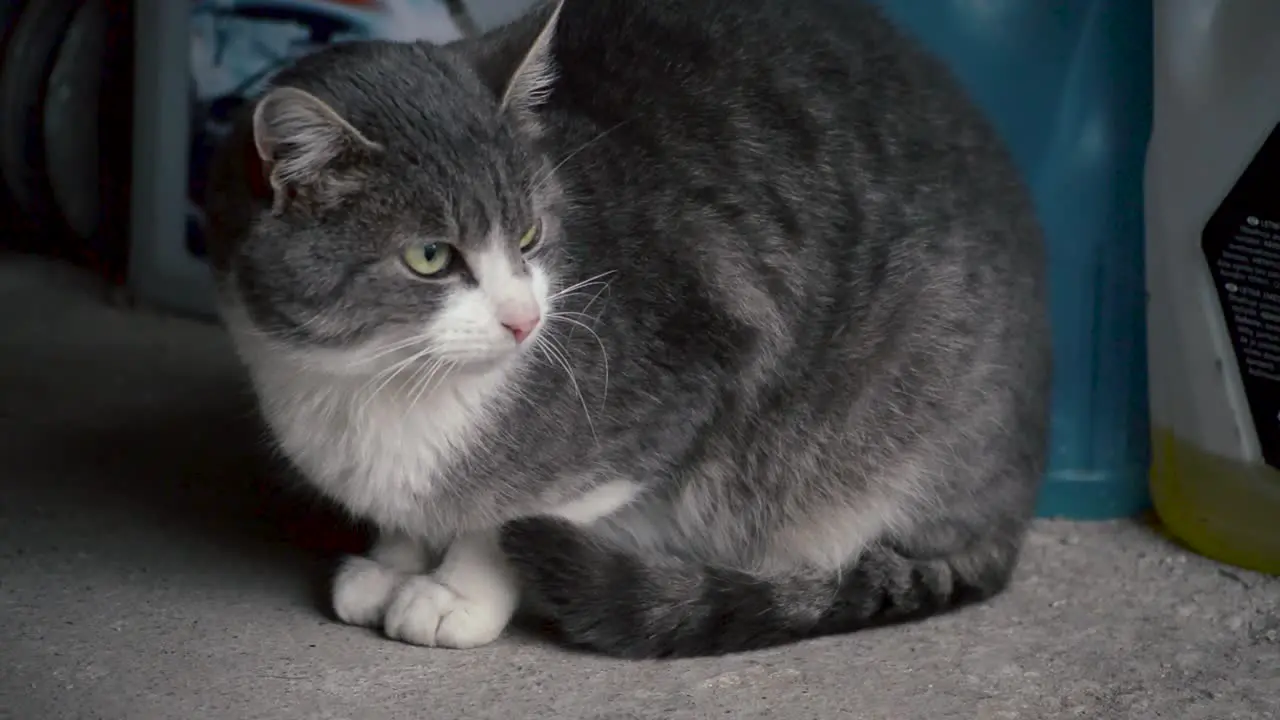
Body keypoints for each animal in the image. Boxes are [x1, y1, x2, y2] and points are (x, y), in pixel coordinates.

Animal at [204, 0, 1054, 655]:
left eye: (528, 237)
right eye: (430, 257)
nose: (526, 318)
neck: (367, 384)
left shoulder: (683, 388)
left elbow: (509, 519)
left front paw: (453, 593)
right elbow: (410, 514)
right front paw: (395, 560)